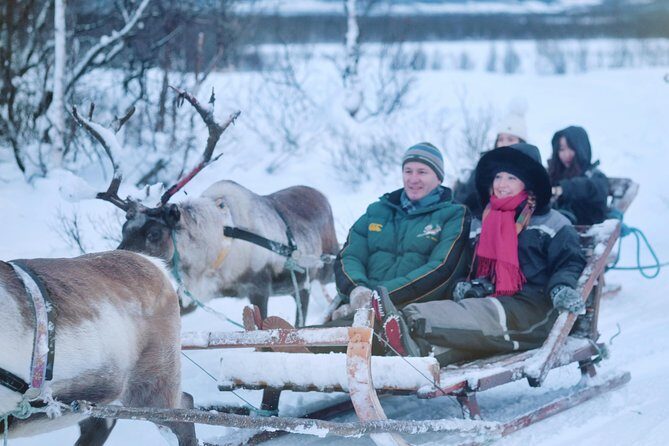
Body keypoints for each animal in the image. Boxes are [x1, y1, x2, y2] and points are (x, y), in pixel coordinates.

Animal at [73, 88, 339, 326]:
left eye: (154, 233)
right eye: (124, 229)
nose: (116, 264)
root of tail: (321, 196)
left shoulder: (258, 287)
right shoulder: (195, 294)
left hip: (324, 266)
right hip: (302, 283)